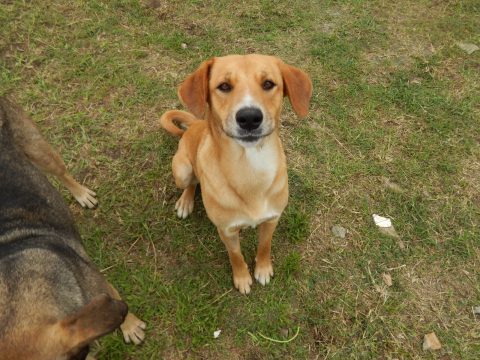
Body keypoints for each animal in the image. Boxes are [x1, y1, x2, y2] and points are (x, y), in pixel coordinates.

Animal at [0, 97, 144, 358]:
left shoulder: (102, 288)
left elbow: (120, 306)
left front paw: (131, 328)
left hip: (41, 153)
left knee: (63, 172)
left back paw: (82, 194)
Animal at [159, 54, 314, 296]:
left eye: (268, 83)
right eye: (224, 86)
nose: (249, 117)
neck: (250, 169)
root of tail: (194, 125)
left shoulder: (272, 219)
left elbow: (265, 246)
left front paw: (263, 268)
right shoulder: (227, 231)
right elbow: (236, 255)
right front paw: (242, 278)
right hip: (182, 170)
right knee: (191, 183)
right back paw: (186, 202)